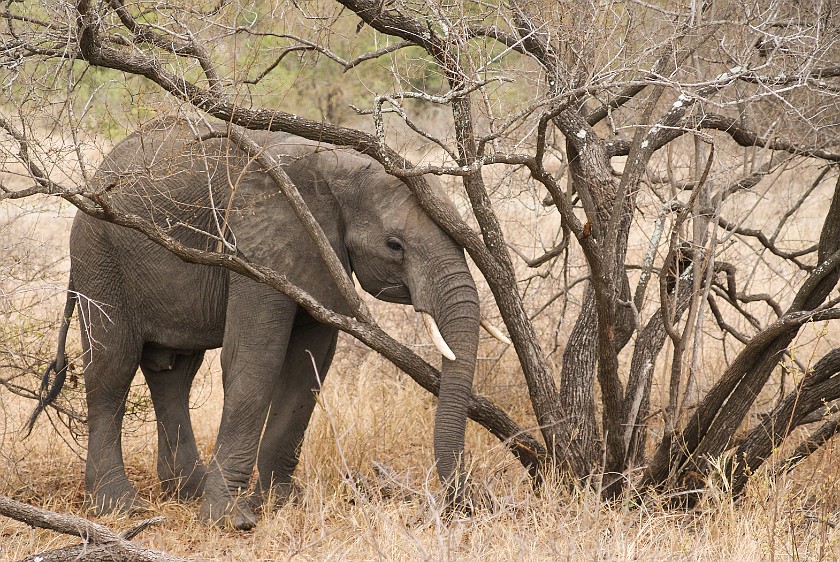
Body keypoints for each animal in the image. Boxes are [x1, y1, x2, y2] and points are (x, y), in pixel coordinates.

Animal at [29, 117, 482, 524]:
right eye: (394, 245)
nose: (459, 507)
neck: (334, 167)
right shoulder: (257, 246)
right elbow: (254, 361)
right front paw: (230, 519)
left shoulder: (317, 254)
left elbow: (307, 368)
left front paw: (280, 504)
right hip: (99, 257)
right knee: (112, 369)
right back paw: (120, 508)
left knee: (174, 372)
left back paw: (187, 492)